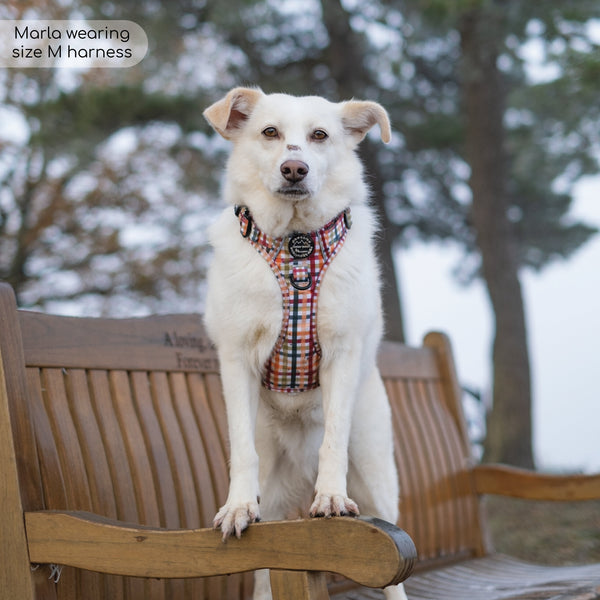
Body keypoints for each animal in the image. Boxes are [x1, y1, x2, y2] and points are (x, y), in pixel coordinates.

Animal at [204, 85, 406, 600]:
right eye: (269, 132)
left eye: (320, 135)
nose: (294, 168)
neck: (296, 244)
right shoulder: (236, 358)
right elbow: (241, 446)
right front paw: (237, 505)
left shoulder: (342, 353)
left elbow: (333, 439)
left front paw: (331, 497)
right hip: (273, 500)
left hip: (376, 476)